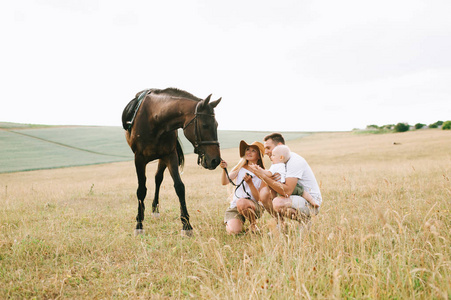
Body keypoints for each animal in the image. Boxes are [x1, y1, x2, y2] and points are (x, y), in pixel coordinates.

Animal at [122, 88, 222, 236]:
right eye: (205, 125)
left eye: (216, 125)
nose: (216, 160)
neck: (155, 119)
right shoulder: (139, 159)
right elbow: (141, 190)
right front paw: (139, 224)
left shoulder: (170, 155)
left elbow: (179, 187)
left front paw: (186, 226)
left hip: (162, 158)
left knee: (158, 178)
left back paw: (155, 209)